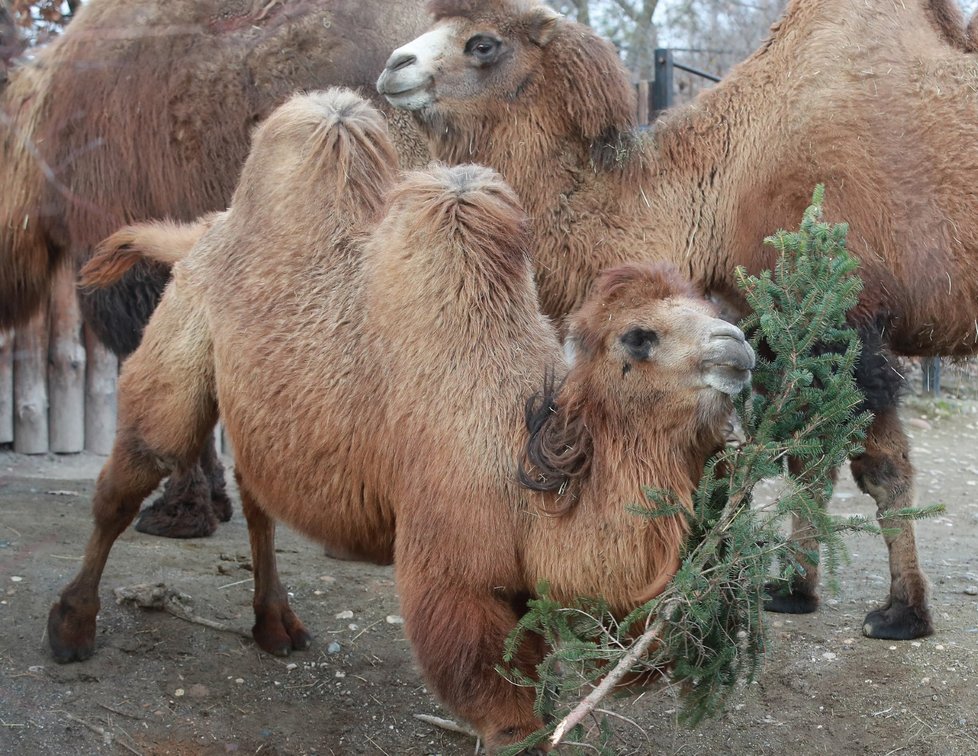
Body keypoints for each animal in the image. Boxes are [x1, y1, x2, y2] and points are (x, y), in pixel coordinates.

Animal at [47, 88, 756, 752]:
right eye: (639, 338)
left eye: (709, 308)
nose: (740, 350)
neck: (517, 453)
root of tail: (204, 232)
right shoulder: (452, 573)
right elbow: (500, 704)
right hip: (177, 346)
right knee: (129, 478)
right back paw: (71, 627)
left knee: (258, 497)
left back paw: (276, 626)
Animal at [374, 0, 978, 636]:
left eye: (483, 44)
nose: (394, 66)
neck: (727, 185)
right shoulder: (782, 327)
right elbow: (806, 461)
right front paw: (792, 589)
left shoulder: (847, 321)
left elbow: (879, 468)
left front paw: (903, 612)